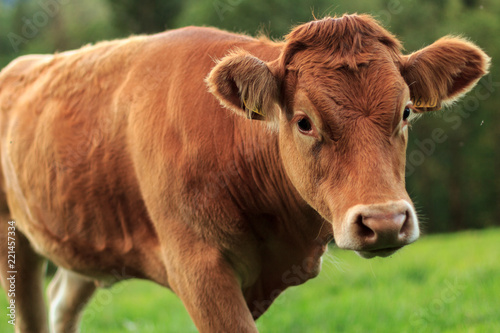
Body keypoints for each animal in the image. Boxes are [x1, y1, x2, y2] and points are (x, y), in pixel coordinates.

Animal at [0, 13, 488, 332]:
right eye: (304, 121)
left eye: (405, 111)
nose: (384, 221)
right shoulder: (198, 269)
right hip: (15, 239)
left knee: (62, 302)